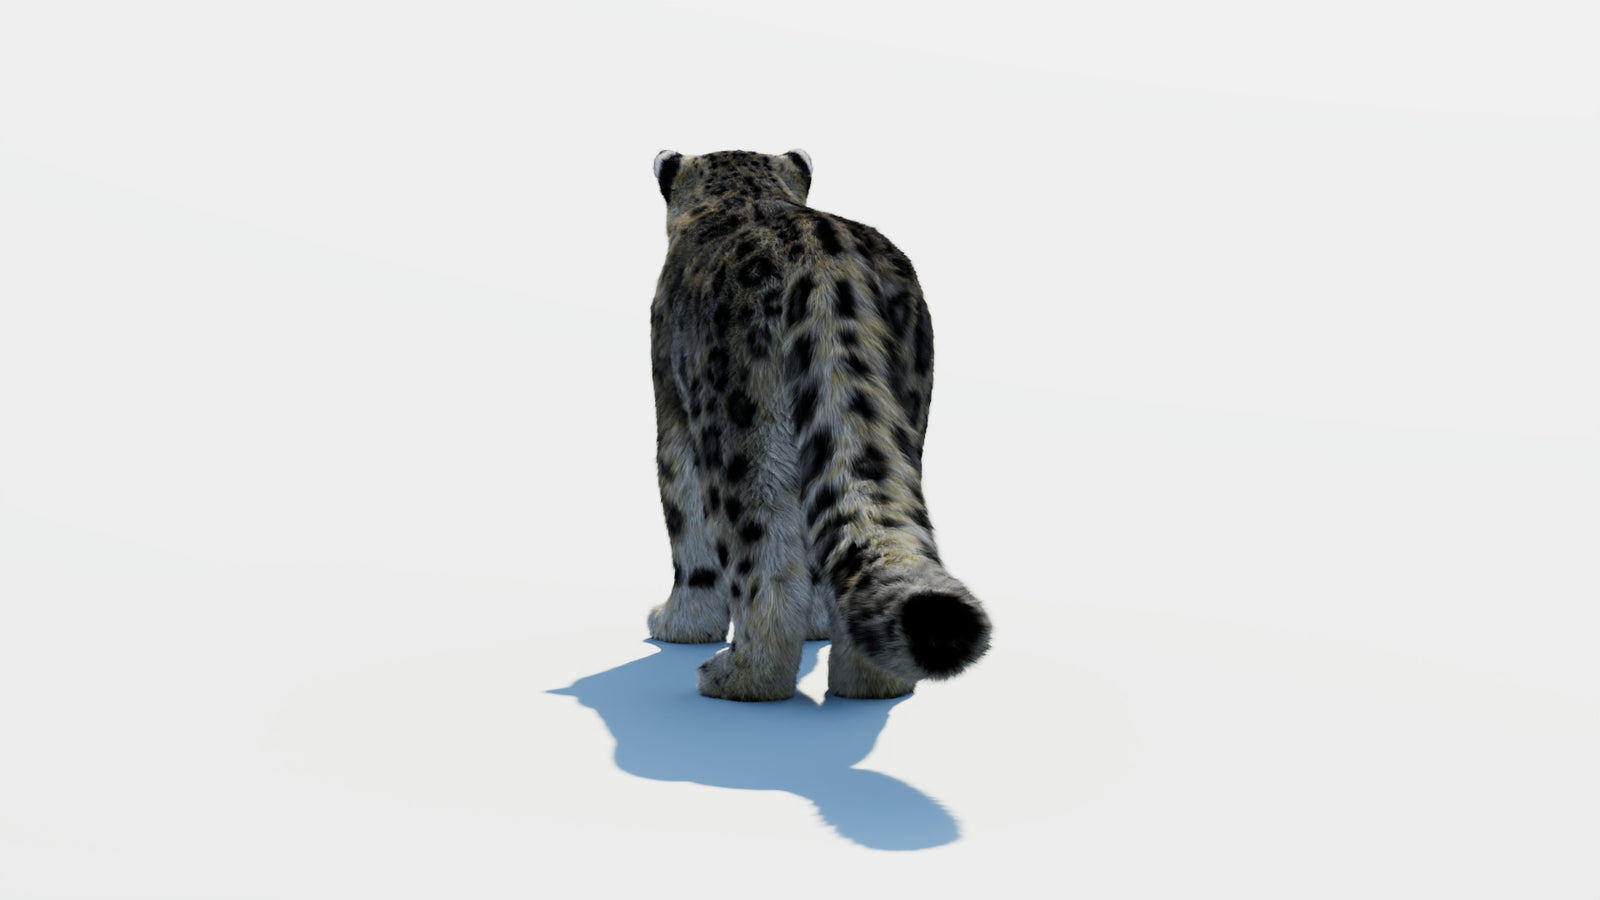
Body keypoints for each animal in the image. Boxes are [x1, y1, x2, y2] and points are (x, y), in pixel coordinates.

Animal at [647, 148, 991, 701]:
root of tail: (830, 268)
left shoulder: (672, 408)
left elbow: (686, 526)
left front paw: (680, 623)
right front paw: (817, 626)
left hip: (741, 435)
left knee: (759, 552)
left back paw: (740, 675)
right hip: (903, 414)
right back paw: (871, 681)